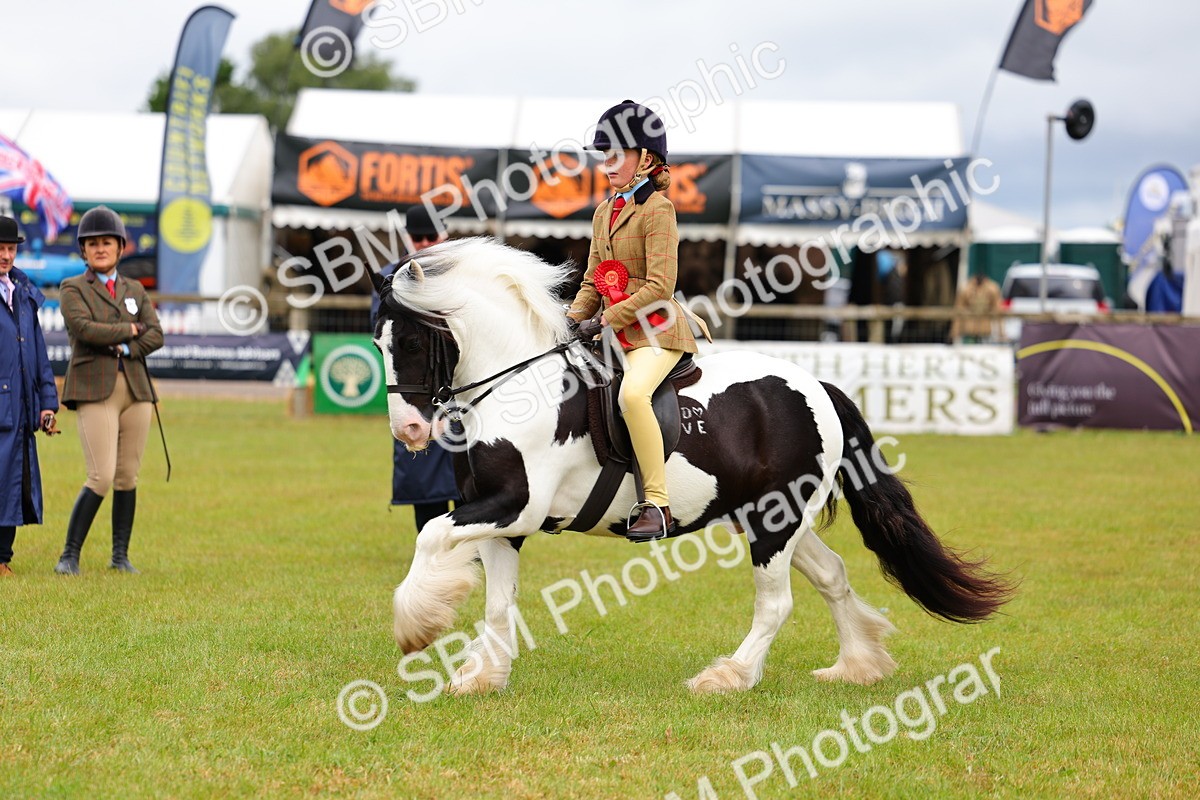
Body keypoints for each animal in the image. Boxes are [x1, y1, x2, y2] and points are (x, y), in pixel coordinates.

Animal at [371, 237, 1012, 695]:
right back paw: (857, 665)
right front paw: (482, 676)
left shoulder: (513, 507)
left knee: (776, 603)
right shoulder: (504, 519)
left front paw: (416, 626)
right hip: (770, 516)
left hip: (774, 523)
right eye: (377, 342)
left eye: (409, 341)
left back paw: (727, 678)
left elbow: (431, 535)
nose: (409, 431)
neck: (520, 385)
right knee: (831, 575)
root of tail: (819, 387)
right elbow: (497, 600)